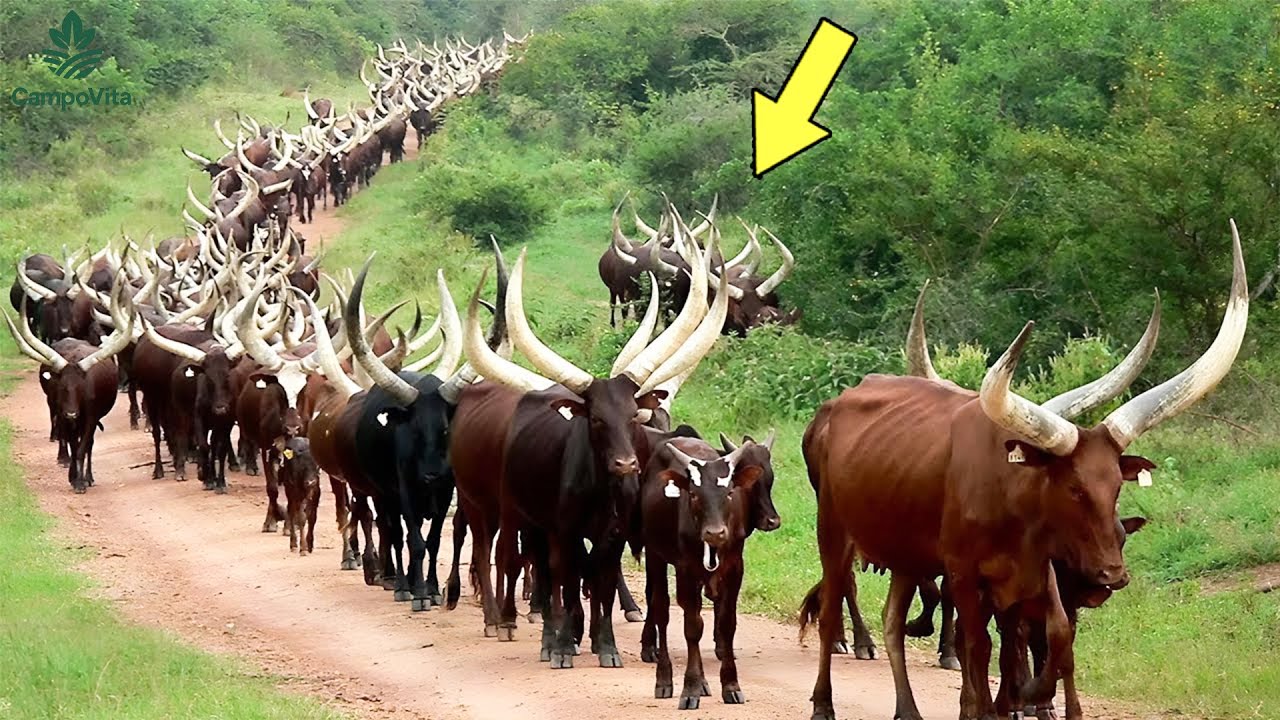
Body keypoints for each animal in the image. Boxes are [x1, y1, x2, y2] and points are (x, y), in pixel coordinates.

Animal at [635, 432, 780, 709]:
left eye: (729, 492)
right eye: (694, 494)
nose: (715, 533)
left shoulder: (734, 569)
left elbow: (727, 624)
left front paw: (731, 685)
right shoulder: (686, 570)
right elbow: (692, 627)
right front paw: (690, 687)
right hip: (655, 556)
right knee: (661, 610)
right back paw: (665, 679)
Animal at [800, 222, 1247, 720]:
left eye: (1117, 486)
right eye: (1072, 487)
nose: (1113, 575)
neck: (1011, 504)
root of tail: (837, 404)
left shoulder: (1030, 578)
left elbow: (1047, 637)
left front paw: (1025, 697)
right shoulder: (964, 574)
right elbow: (979, 647)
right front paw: (990, 706)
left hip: (904, 555)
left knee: (893, 621)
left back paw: (909, 710)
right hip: (834, 534)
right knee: (833, 611)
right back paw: (823, 703)